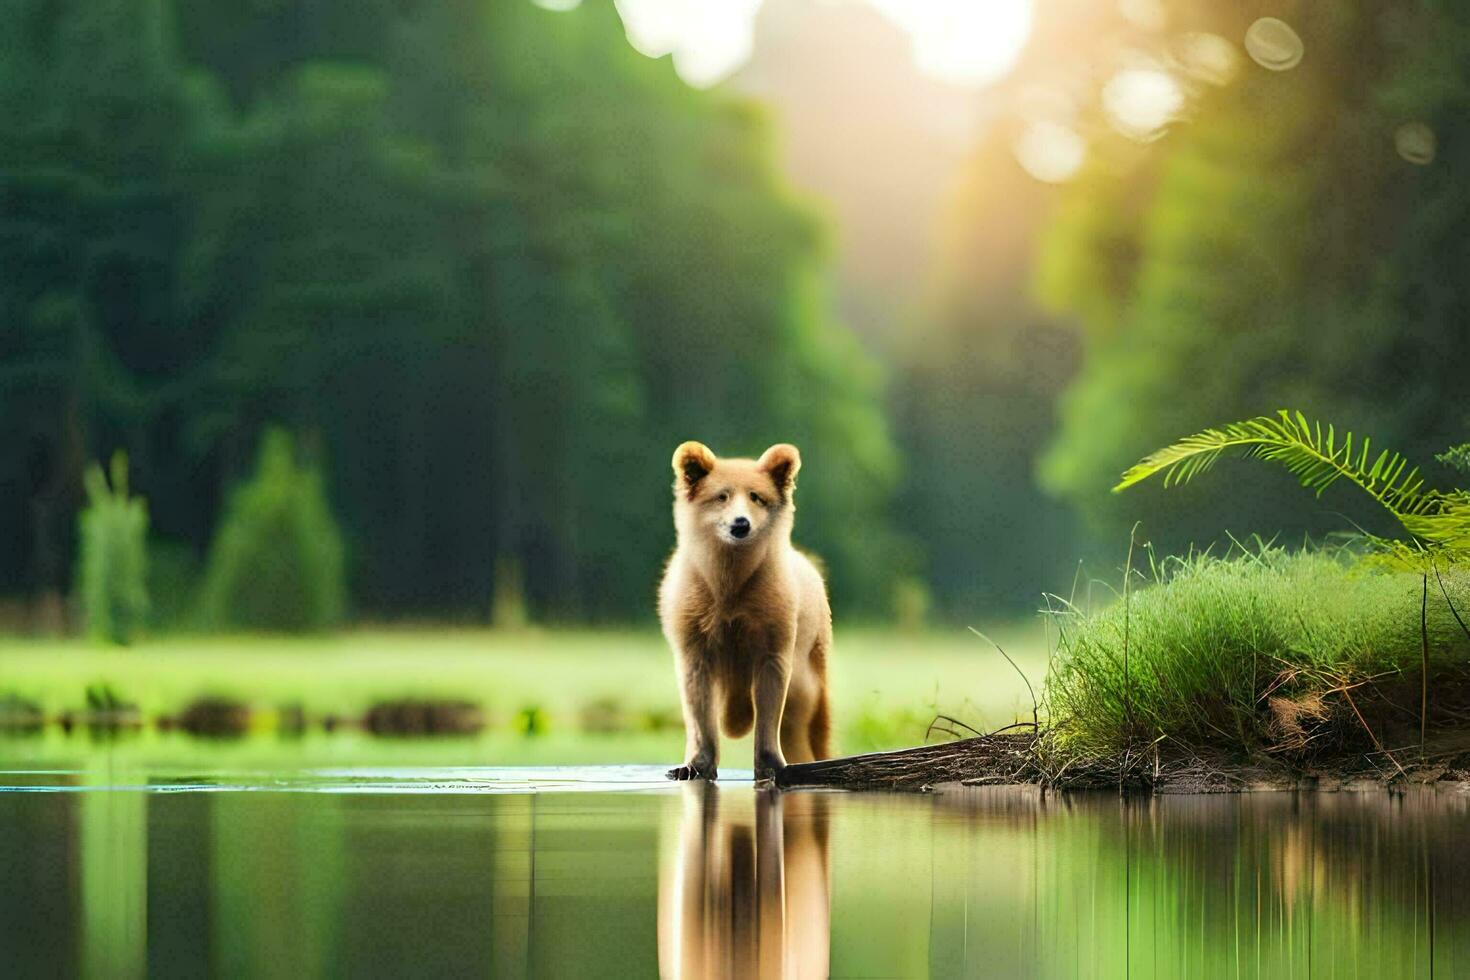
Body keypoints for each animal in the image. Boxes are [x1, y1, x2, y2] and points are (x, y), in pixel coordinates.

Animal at [661, 443, 834, 781]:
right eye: (721, 495)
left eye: (757, 496)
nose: (740, 524)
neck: (729, 582)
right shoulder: (695, 629)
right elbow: (697, 703)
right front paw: (694, 766)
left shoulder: (773, 627)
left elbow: (772, 699)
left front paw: (770, 764)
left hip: (813, 657)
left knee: (806, 724)